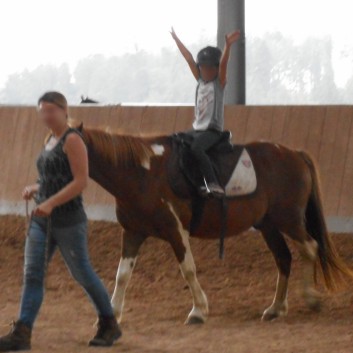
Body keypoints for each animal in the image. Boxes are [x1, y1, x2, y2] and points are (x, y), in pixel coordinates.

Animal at [77, 122, 352, 324]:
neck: (143, 173)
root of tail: (295, 153)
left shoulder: (175, 230)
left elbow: (188, 269)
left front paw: (198, 310)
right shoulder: (133, 232)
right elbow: (122, 274)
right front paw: (112, 315)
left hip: (289, 220)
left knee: (310, 247)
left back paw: (311, 298)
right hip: (268, 225)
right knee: (284, 257)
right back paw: (275, 308)